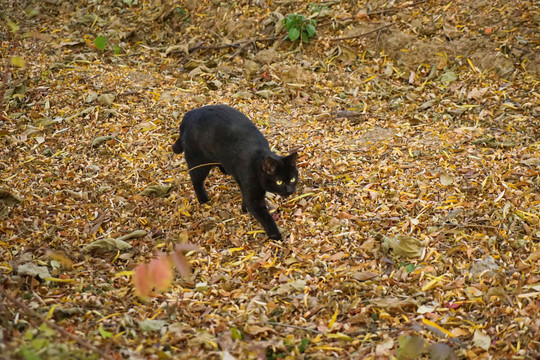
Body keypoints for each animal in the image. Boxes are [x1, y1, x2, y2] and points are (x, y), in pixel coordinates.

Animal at [172, 104, 300, 239]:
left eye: (292, 179)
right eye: (279, 181)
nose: (290, 190)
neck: (256, 163)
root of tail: (189, 115)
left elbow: (245, 197)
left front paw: (244, 209)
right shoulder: (253, 194)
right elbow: (264, 216)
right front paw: (275, 234)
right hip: (199, 161)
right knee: (196, 180)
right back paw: (203, 199)